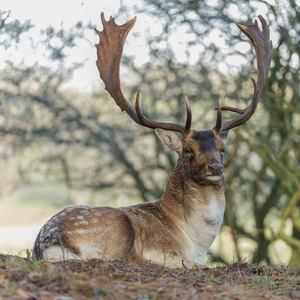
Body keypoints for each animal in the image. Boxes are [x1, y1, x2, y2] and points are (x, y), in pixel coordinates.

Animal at [32, 14, 272, 268]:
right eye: (187, 149)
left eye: (222, 148)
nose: (215, 167)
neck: (196, 243)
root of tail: (44, 245)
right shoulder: (161, 250)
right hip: (120, 225)